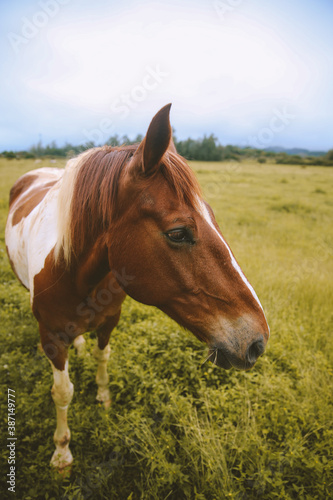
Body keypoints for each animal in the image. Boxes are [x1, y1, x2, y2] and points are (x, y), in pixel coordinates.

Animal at [5, 103, 270, 470]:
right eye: (177, 233)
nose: (257, 341)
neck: (75, 273)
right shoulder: (52, 338)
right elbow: (62, 392)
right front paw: (61, 453)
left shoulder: (109, 320)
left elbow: (103, 358)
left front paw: (103, 399)